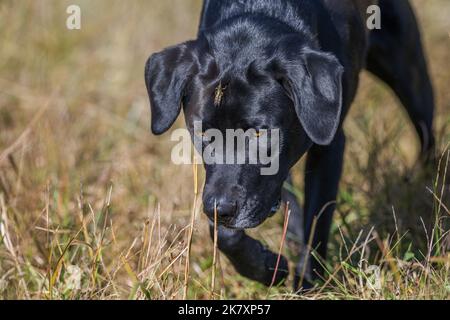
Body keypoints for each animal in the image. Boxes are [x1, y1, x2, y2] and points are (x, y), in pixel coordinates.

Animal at [144, 0, 432, 288]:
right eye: (203, 133)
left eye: (259, 134)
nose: (218, 209)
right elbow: (225, 233)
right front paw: (269, 266)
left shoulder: (328, 145)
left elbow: (315, 223)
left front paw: (307, 285)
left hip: (405, 68)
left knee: (427, 131)